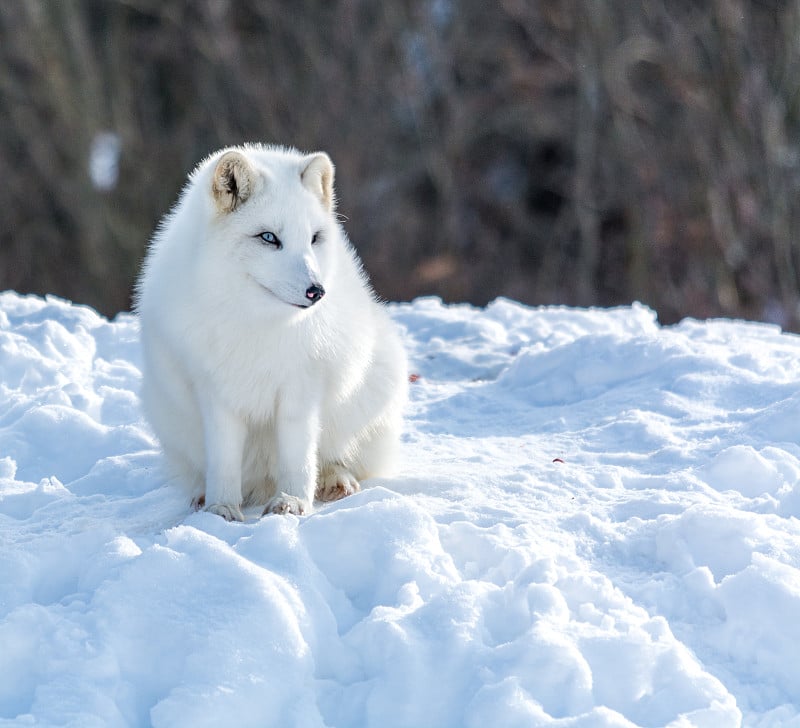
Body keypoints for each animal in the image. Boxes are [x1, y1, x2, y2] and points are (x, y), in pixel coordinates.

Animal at [136, 144, 406, 516]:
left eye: (314, 238)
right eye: (268, 237)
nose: (317, 292)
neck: (259, 326)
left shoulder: (302, 386)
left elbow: (299, 455)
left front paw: (292, 501)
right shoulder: (214, 389)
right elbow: (223, 457)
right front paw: (221, 507)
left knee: (336, 456)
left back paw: (334, 480)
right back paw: (201, 494)